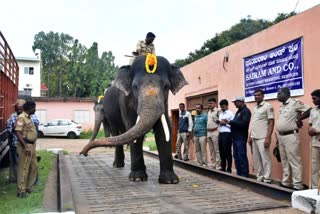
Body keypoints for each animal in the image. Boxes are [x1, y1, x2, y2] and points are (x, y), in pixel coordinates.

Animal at [80, 55, 189, 184]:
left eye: (166, 87)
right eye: (135, 87)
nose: (83, 153)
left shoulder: (165, 104)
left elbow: (163, 131)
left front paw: (170, 180)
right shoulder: (125, 102)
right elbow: (132, 127)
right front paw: (137, 178)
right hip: (111, 115)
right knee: (116, 131)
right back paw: (118, 165)